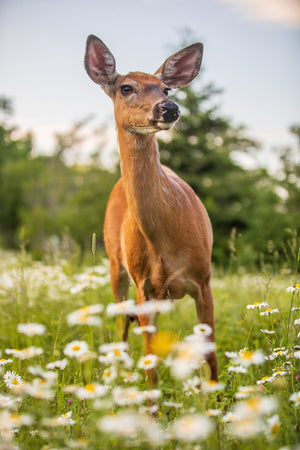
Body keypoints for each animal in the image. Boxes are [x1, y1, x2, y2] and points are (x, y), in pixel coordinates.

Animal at [84, 34, 218, 384]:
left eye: (166, 88)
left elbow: (210, 357)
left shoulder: (204, 279)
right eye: (125, 87)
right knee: (121, 321)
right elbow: (151, 366)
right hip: (116, 263)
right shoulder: (145, 286)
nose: (169, 108)